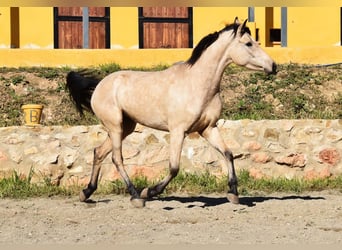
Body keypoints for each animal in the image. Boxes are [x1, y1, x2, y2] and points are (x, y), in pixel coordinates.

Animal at [65, 17, 276, 208]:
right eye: (248, 43)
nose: (273, 66)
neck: (197, 84)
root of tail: (100, 85)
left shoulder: (208, 128)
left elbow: (228, 154)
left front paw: (233, 193)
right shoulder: (178, 131)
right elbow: (174, 167)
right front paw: (150, 191)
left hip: (126, 127)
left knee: (99, 152)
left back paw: (87, 192)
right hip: (115, 126)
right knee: (117, 159)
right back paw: (136, 196)